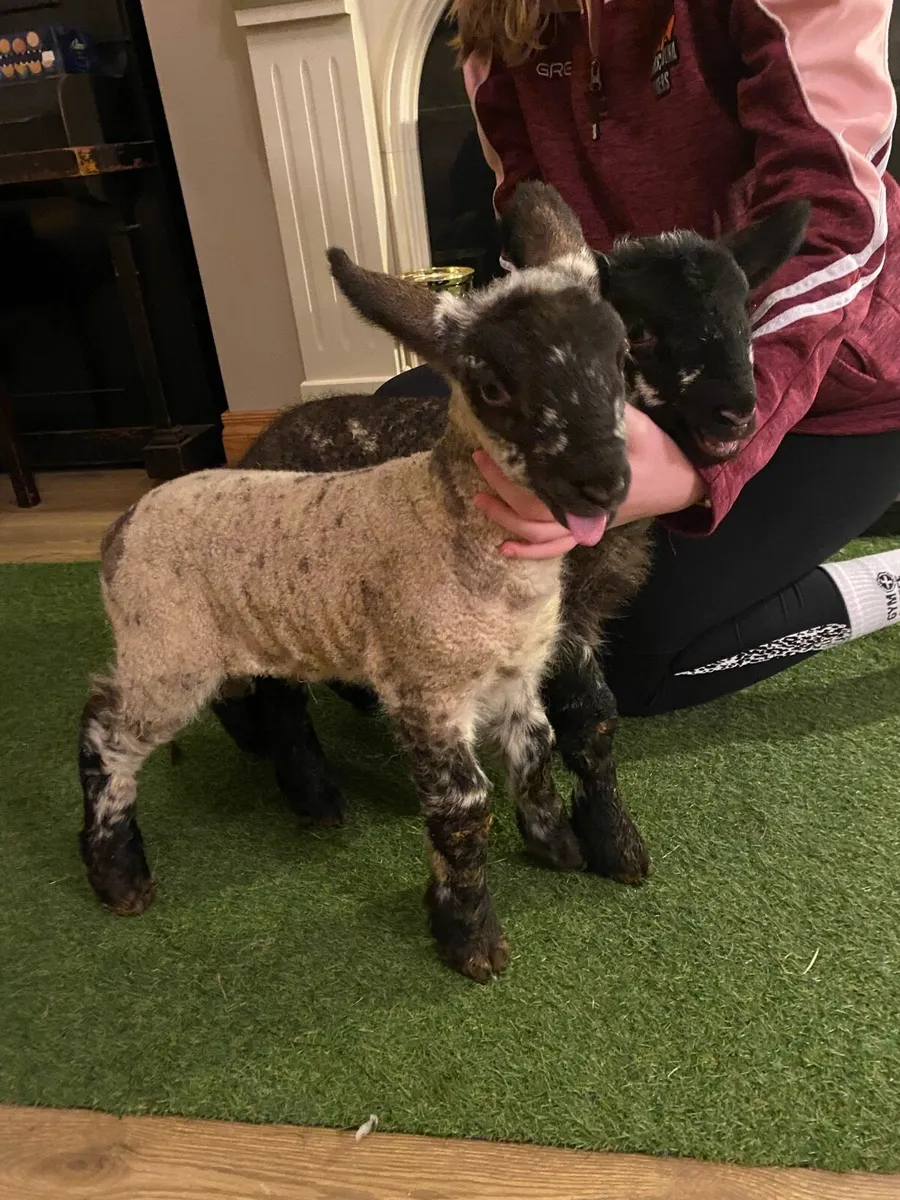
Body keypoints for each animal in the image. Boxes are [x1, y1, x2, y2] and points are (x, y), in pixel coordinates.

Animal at [79, 182, 634, 981]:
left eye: (622, 357)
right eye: (492, 386)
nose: (604, 481)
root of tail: (122, 525)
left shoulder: (516, 673)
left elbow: (535, 749)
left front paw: (556, 846)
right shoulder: (426, 687)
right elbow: (464, 809)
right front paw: (470, 939)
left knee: (247, 694)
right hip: (165, 650)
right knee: (104, 729)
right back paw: (118, 874)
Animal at [214, 185, 810, 881]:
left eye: (746, 316)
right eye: (642, 335)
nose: (738, 411)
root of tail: (259, 442)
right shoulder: (562, 616)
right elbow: (591, 718)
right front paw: (614, 842)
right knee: (276, 691)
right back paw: (311, 794)